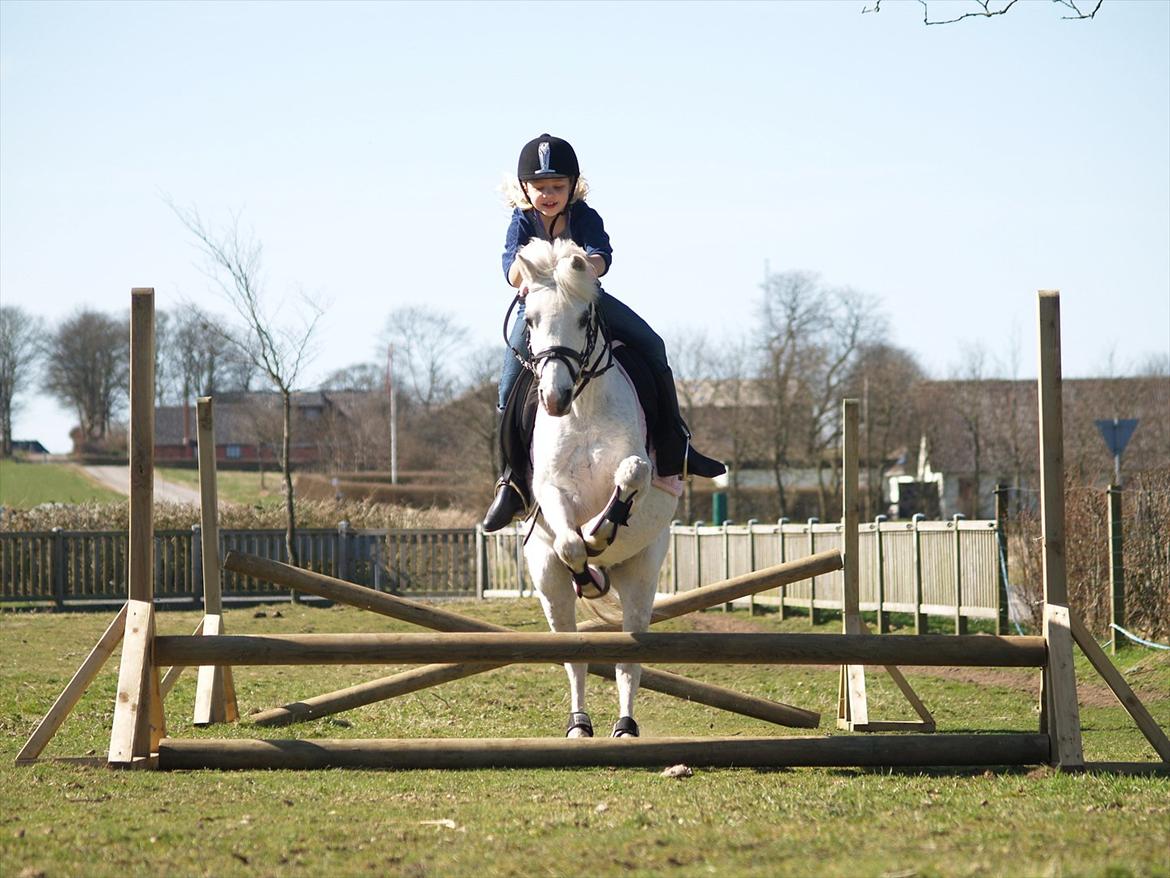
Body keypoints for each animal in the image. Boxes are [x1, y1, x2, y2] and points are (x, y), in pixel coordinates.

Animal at [510, 237, 683, 739]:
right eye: (531, 319)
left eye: (585, 318)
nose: (554, 399)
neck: (584, 407)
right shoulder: (550, 491)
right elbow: (569, 541)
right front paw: (586, 549)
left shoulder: (639, 468)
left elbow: (632, 474)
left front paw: (600, 531)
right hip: (548, 584)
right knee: (573, 656)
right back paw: (579, 723)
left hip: (643, 574)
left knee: (630, 658)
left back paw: (625, 724)